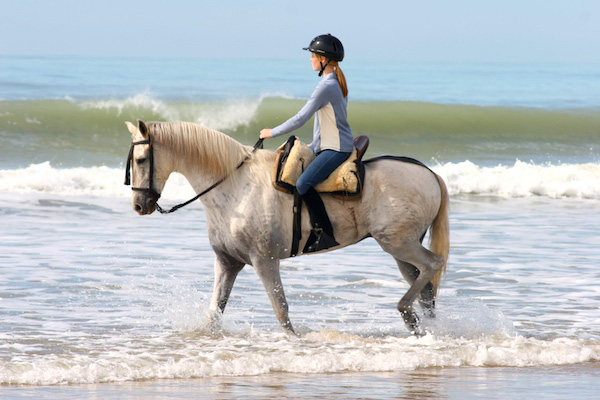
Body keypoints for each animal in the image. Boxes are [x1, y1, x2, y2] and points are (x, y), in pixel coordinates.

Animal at [124, 119, 448, 334]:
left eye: (140, 159)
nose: (139, 206)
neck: (236, 185)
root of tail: (430, 174)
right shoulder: (227, 262)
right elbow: (214, 312)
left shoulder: (264, 260)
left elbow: (281, 310)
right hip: (399, 248)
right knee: (425, 288)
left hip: (397, 243)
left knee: (433, 264)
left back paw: (405, 312)